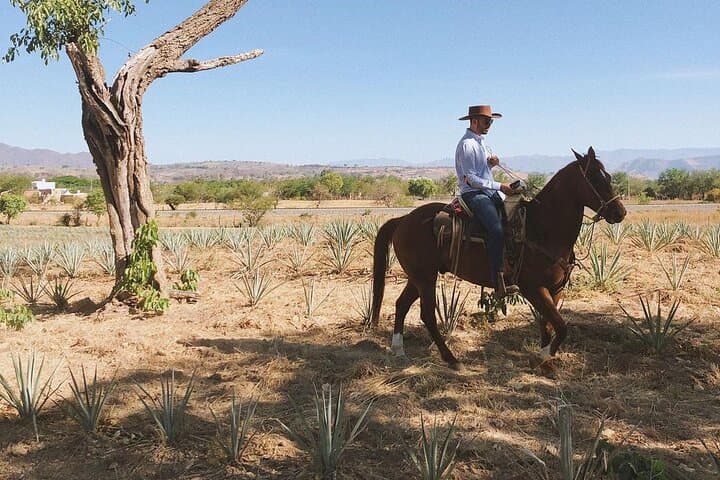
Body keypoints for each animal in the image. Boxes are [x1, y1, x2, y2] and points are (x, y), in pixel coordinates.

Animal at [370, 146, 627, 370]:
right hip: (425, 278)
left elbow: (547, 323)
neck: (541, 228)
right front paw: (543, 356)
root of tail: (403, 220)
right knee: (427, 315)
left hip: (419, 277)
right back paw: (451, 359)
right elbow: (561, 326)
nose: (620, 212)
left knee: (401, 304)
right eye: (594, 178)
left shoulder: (555, 289)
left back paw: (398, 350)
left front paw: (545, 362)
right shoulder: (534, 288)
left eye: (608, 176)